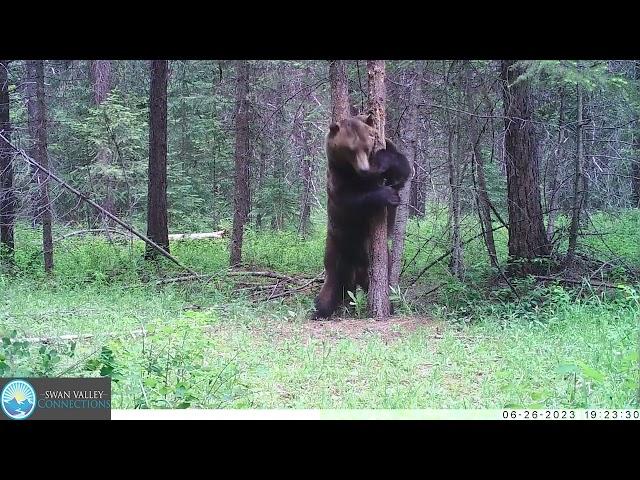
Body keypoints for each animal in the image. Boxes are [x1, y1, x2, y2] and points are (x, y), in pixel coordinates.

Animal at [312, 114, 412, 320]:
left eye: (367, 146)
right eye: (350, 150)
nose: (364, 169)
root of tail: (355, 272)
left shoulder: (390, 150)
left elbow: (403, 169)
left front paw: (384, 162)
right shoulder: (338, 176)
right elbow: (349, 200)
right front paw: (387, 195)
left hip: (376, 262)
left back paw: (388, 307)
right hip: (335, 253)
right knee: (329, 290)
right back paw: (318, 311)